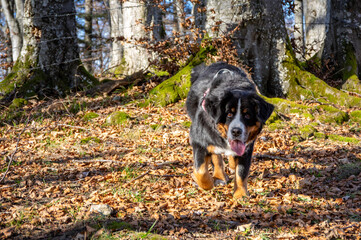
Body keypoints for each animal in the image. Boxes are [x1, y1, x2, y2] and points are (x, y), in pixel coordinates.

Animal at [186, 62, 272, 199]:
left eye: (247, 115)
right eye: (229, 114)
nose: (236, 131)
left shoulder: (247, 148)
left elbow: (241, 172)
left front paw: (241, 195)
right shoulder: (198, 140)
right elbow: (201, 171)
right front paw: (208, 184)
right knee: (216, 156)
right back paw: (219, 176)